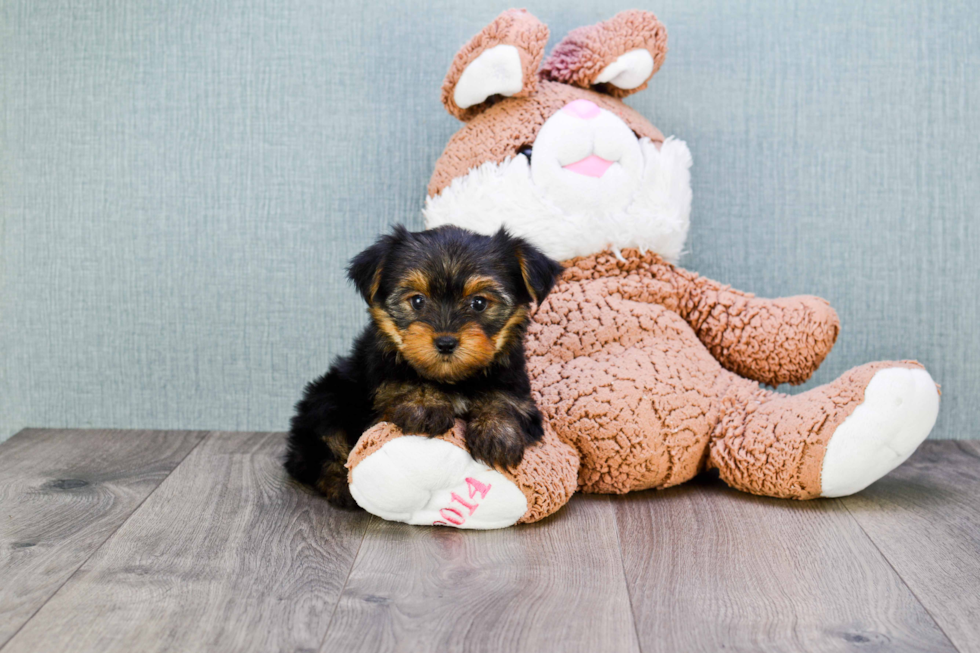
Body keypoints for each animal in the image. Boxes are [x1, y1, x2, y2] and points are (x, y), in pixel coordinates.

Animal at [280, 224, 564, 510]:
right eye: (417, 301)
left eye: (479, 303)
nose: (446, 342)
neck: (453, 379)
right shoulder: (384, 383)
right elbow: (405, 381)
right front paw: (425, 404)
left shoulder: (519, 391)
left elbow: (505, 400)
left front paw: (497, 433)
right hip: (327, 396)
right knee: (322, 447)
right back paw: (341, 483)